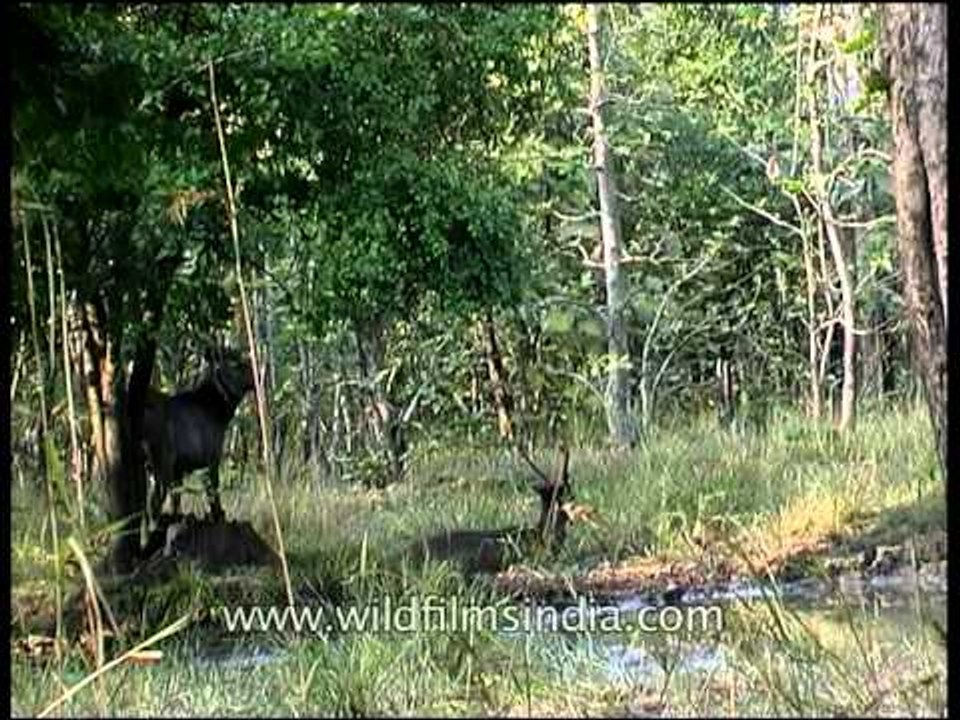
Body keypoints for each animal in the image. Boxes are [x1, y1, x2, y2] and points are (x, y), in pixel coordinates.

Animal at [142, 346, 255, 524]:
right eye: (235, 363)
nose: (255, 375)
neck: (221, 414)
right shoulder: (211, 459)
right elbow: (214, 496)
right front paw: (218, 516)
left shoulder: (179, 470)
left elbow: (176, 504)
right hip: (161, 463)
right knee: (153, 506)